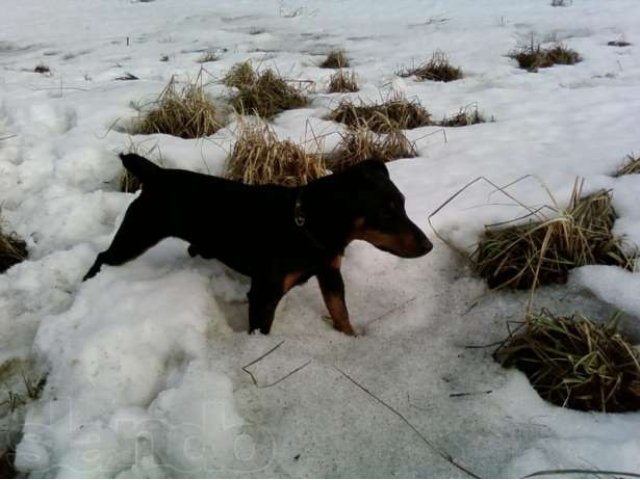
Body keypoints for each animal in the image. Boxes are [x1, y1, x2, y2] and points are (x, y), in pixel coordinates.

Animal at [85, 156, 432, 336]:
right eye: (385, 214)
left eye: (403, 204)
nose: (428, 246)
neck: (306, 228)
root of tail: (155, 175)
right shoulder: (265, 294)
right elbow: (262, 329)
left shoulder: (331, 274)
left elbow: (340, 312)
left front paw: (352, 339)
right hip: (136, 234)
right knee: (104, 256)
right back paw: (90, 282)